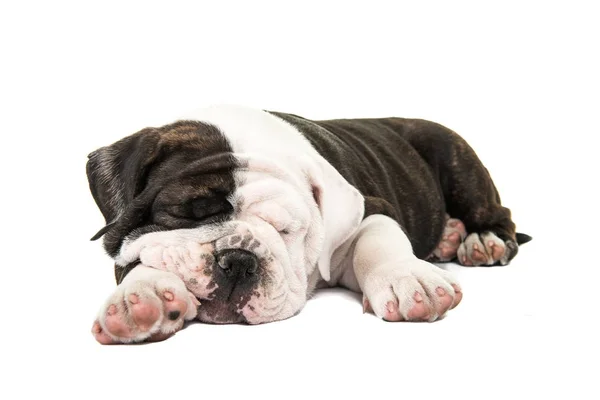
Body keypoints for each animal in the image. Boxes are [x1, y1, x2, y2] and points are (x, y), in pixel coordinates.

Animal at [85, 105, 528, 344]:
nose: (238, 260)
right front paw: (144, 299)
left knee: (497, 214)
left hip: (458, 162)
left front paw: (409, 279)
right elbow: (137, 259)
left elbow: (379, 240)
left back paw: (479, 240)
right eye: (189, 211)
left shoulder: (371, 209)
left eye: (287, 231)